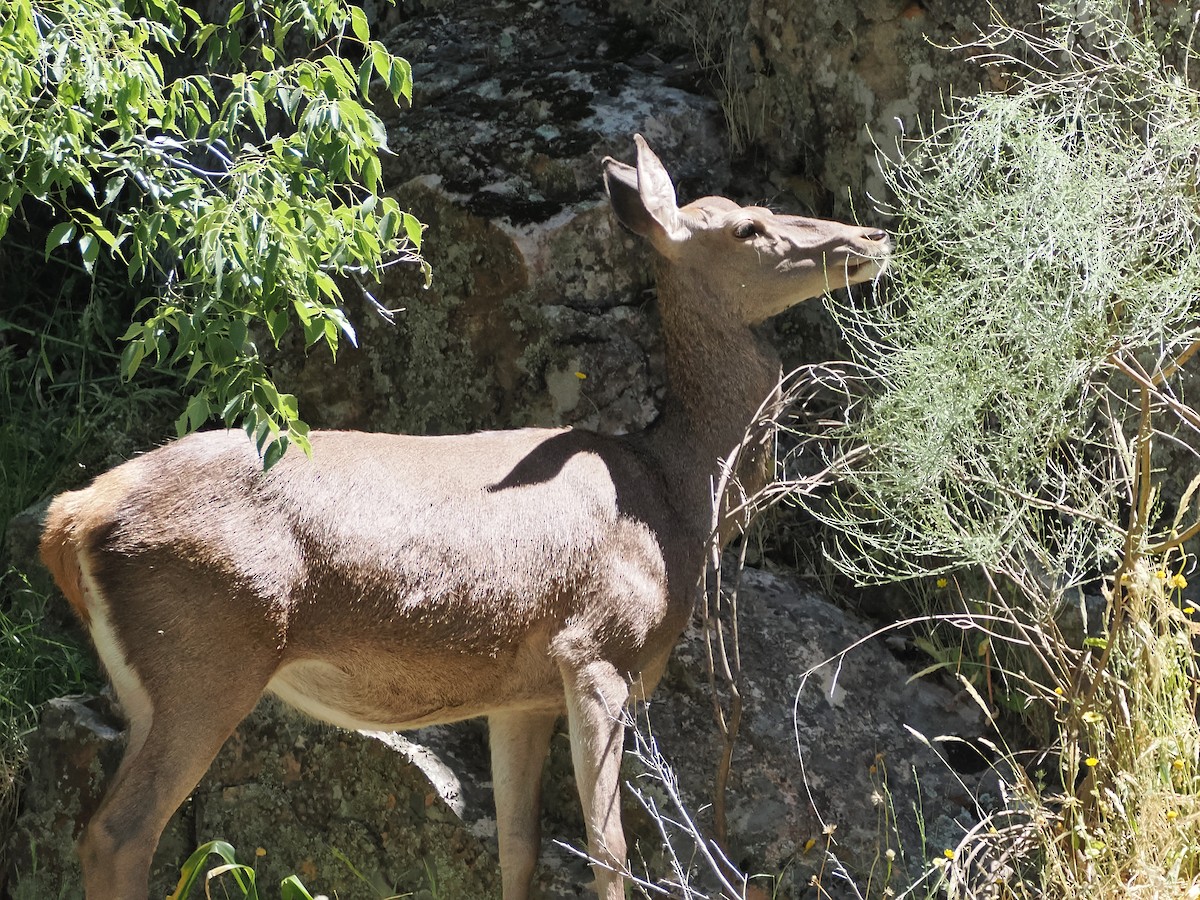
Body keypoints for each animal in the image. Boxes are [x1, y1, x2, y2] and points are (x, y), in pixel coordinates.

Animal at [39, 135, 890, 900]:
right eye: (747, 225)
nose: (871, 238)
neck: (674, 497)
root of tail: (74, 513)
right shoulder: (595, 649)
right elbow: (608, 851)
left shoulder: (522, 694)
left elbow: (518, 849)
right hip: (206, 651)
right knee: (119, 833)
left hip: (145, 680)